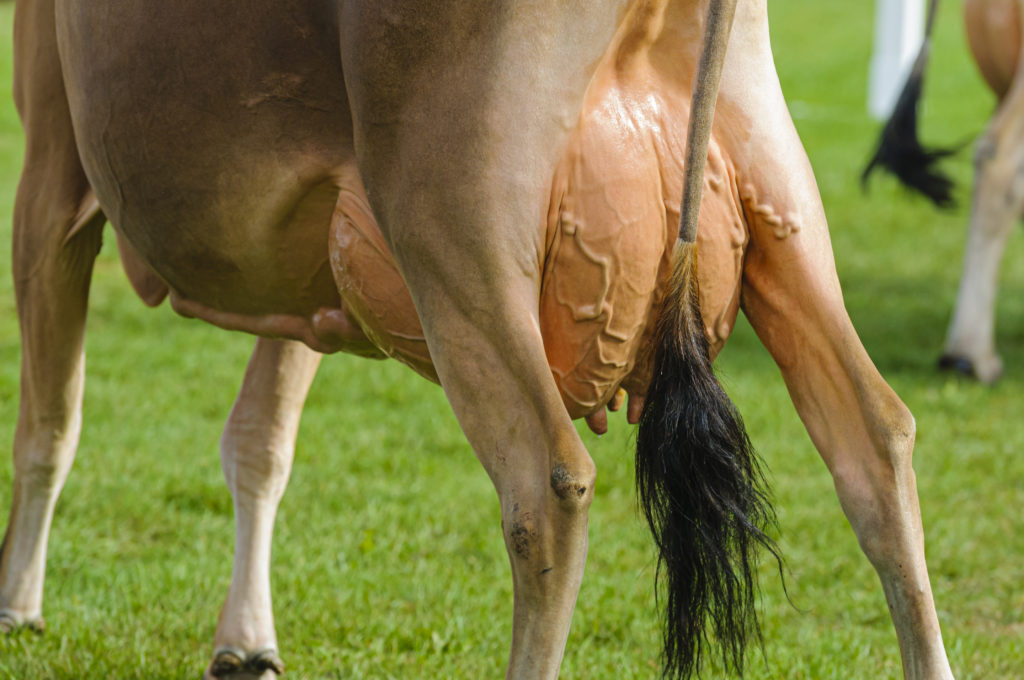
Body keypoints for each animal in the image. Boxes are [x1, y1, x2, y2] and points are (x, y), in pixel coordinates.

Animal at [4, 1, 954, 680]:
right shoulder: (317, 271)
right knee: (879, 440)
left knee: (547, 486)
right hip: (781, 205)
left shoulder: (48, 165)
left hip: (455, 230)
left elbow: (49, 420)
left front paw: (16, 605)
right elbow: (260, 440)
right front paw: (246, 642)